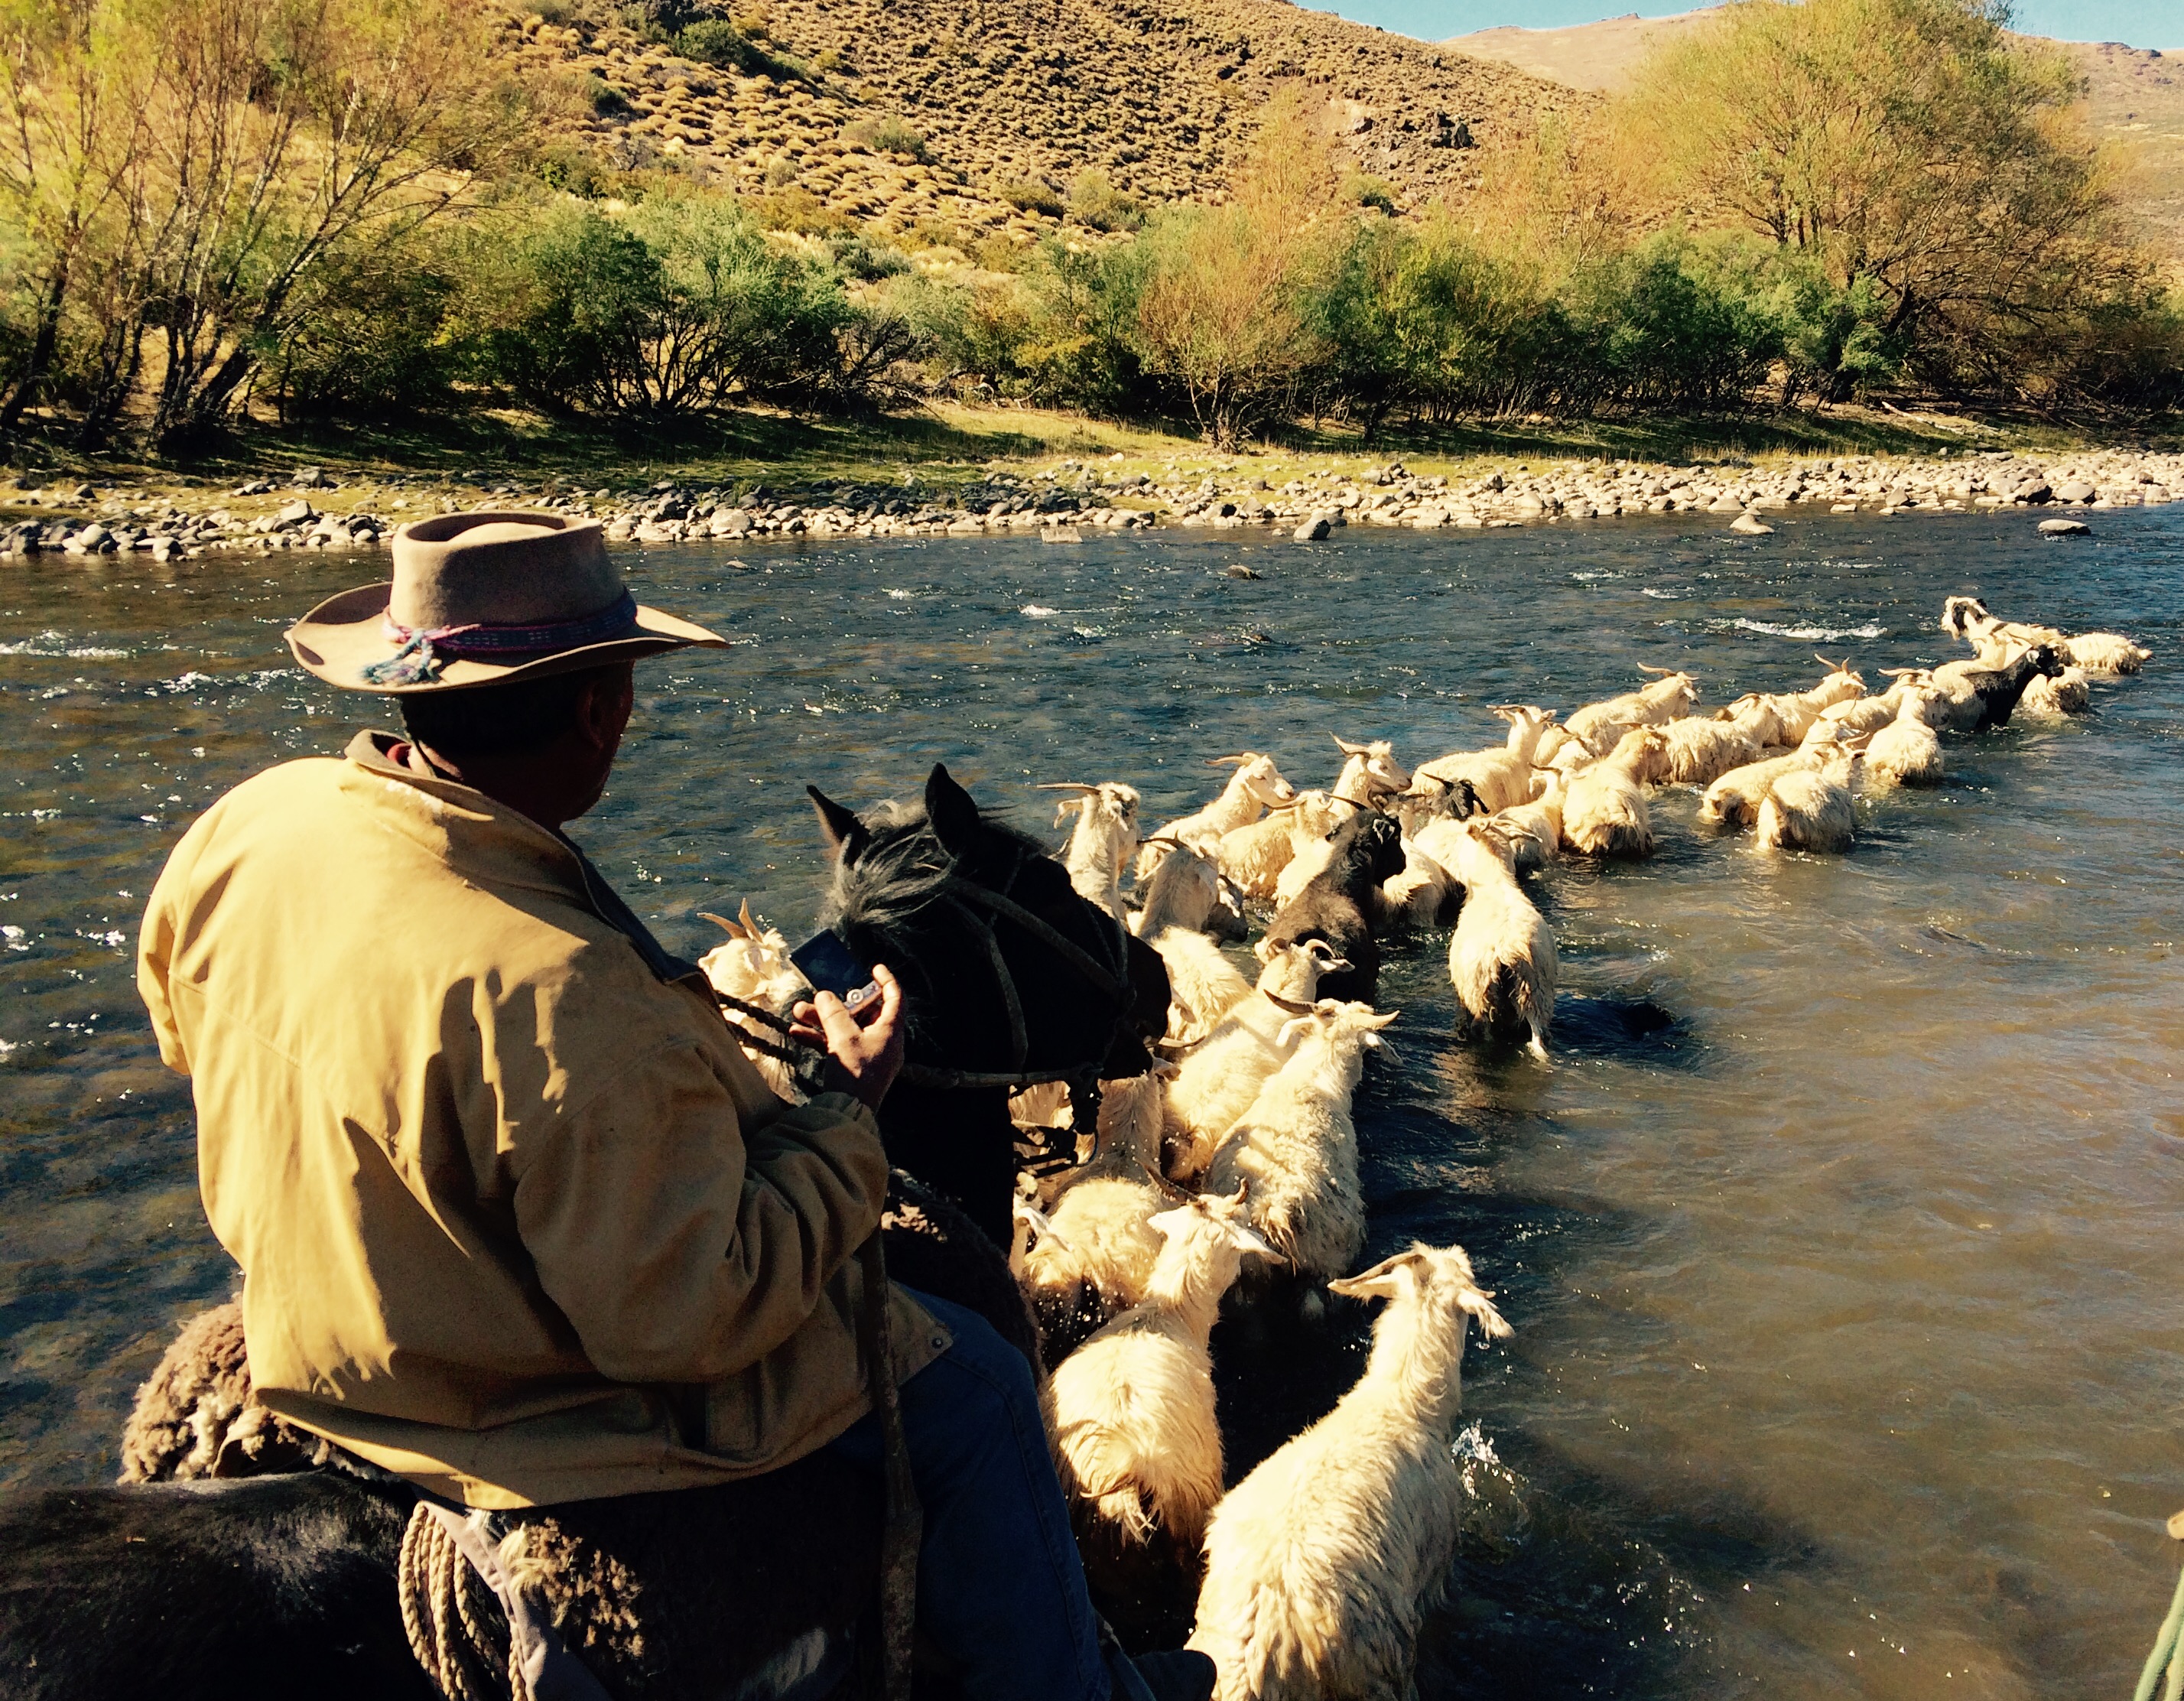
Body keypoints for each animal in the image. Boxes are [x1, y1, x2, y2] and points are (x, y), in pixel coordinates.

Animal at [1187, 1243, 1512, 1701]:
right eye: (1463, 1273)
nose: (1460, 1250)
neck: (1401, 1401)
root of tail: (1264, 1646)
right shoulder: (1435, 1569)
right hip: (1382, 1669)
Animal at [1438, 817, 1556, 1060]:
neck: (1495, 882)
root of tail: (1509, 950)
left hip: (1481, 994)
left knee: (1485, 1036)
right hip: (1535, 993)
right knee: (1538, 1039)